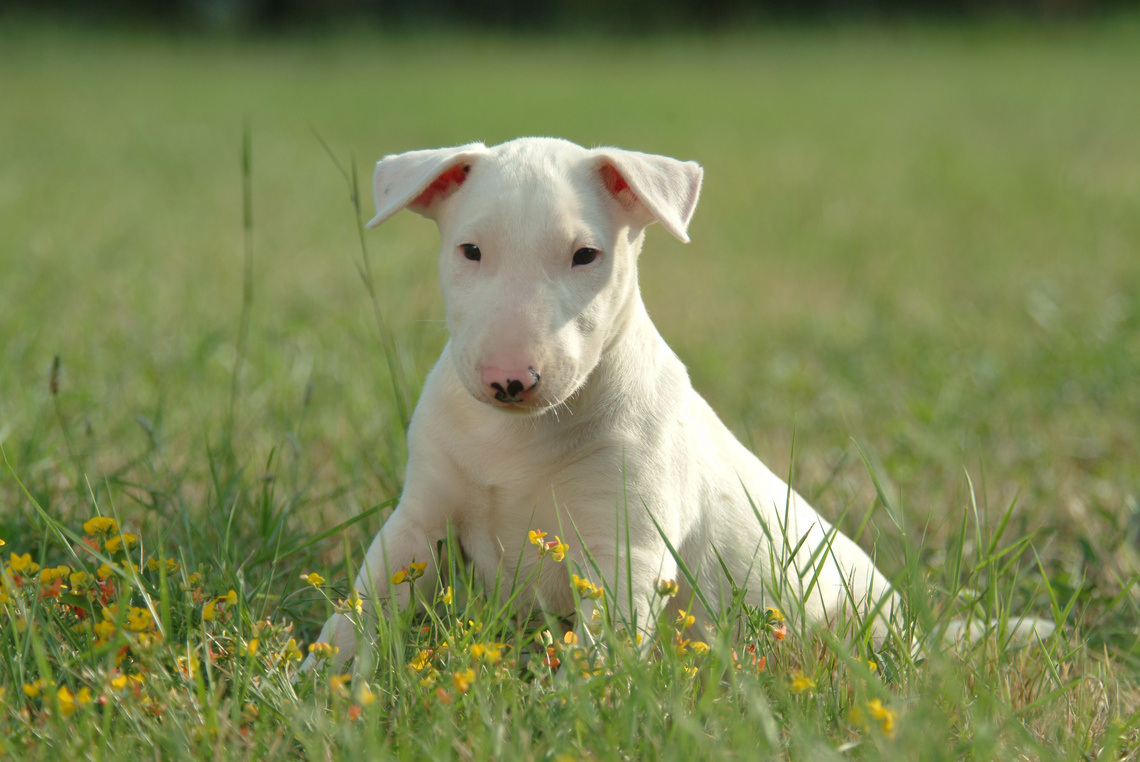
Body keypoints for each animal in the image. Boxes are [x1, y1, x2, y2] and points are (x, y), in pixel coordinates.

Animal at [307, 138, 902, 670]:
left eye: (585, 255)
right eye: (470, 250)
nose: (509, 379)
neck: (518, 437)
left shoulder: (626, 545)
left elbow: (604, 650)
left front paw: (582, 700)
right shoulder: (420, 516)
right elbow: (365, 604)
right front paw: (317, 679)